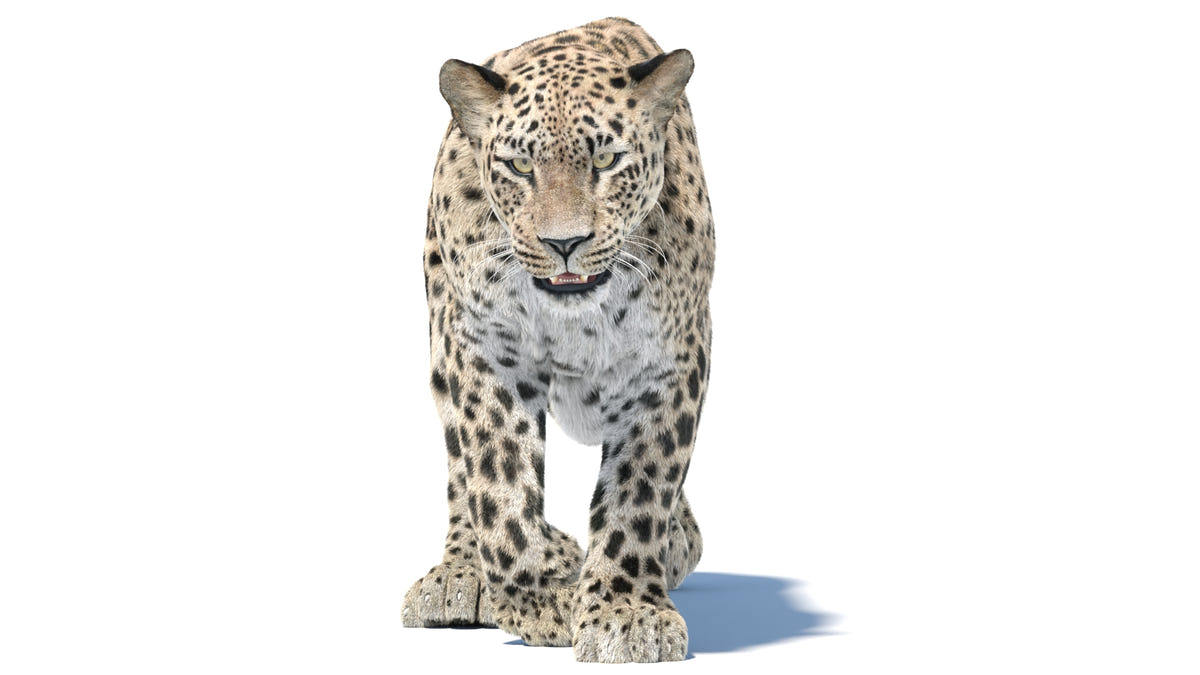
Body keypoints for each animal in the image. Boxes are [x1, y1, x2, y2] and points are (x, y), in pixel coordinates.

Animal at [401, 17, 715, 663]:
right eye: (521, 167)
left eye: (608, 160)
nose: (564, 243)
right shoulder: (485, 353)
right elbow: (498, 483)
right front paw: (539, 598)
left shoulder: (669, 365)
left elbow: (640, 492)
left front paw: (626, 614)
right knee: (460, 471)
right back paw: (461, 574)